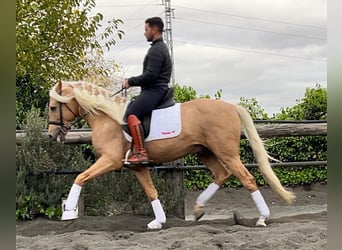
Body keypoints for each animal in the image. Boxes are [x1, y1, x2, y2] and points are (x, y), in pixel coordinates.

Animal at [46, 81, 296, 229]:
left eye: (52, 107)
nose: (51, 135)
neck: (108, 117)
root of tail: (231, 107)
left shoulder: (110, 160)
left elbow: (80, 177)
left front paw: (68, 212)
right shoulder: (137, 166)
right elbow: (151, 191)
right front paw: (158, 221)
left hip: (226, 152)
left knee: (247, 179)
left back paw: (262, 218)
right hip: (205, 152)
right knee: (221, 175)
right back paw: (198, 209)